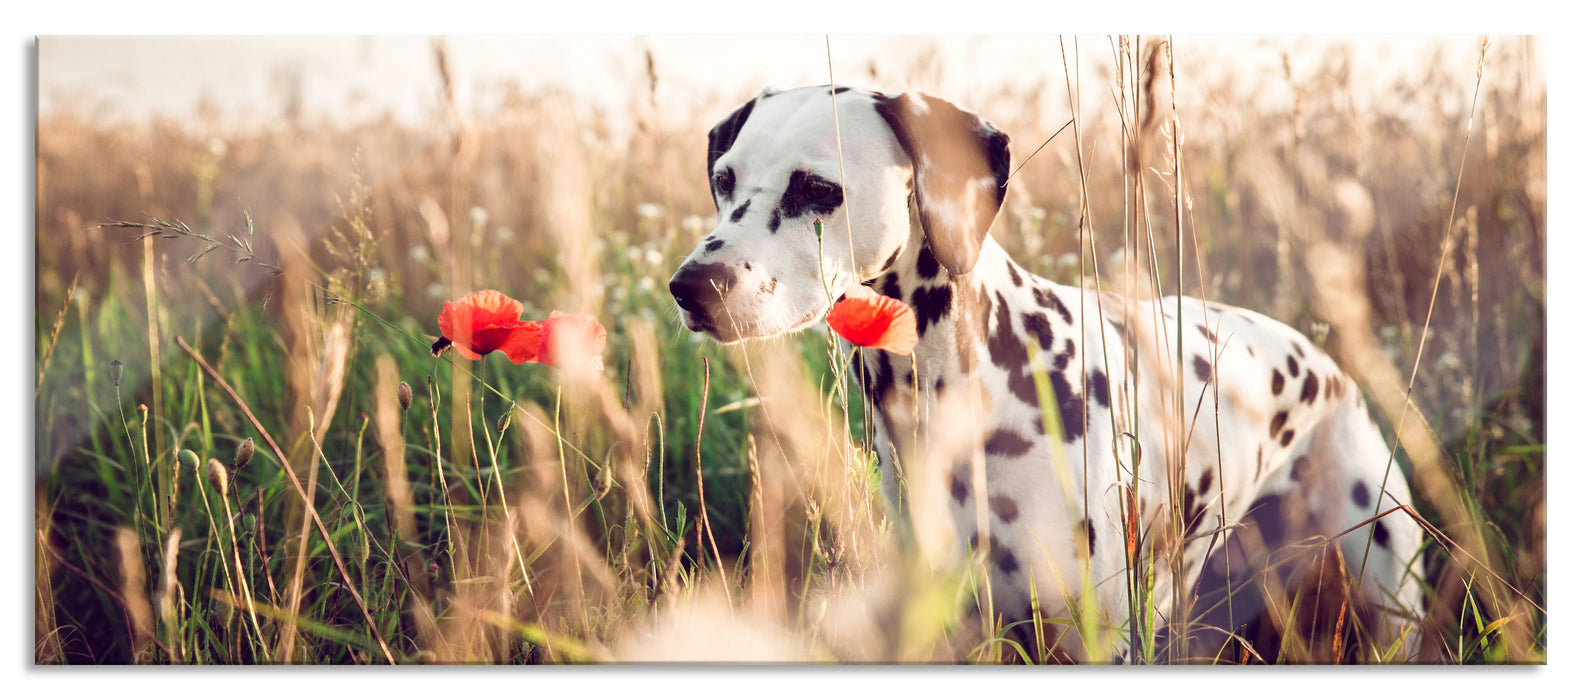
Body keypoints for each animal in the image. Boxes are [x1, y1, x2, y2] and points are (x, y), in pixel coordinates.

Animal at [661, 86, 1430, 661]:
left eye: (818, 188)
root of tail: (1327, 363)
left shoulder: (1098, 637)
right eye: (725, 180)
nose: (692, 287)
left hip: (1388, 589)